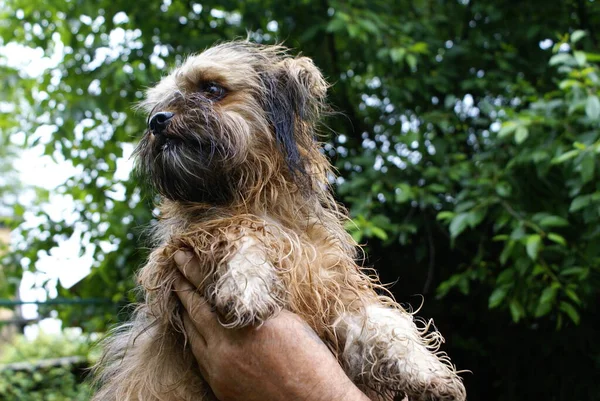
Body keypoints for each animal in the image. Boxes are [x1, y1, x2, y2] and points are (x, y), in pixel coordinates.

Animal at [92, 41, 468, 400]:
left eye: (211, 88)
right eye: (160, 104)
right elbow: (236, 227)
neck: (255, 198)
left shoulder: (332, 288)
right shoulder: (173, 258)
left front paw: (427, 372)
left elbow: (384, 323)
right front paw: (247, 284)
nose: (156, 121)